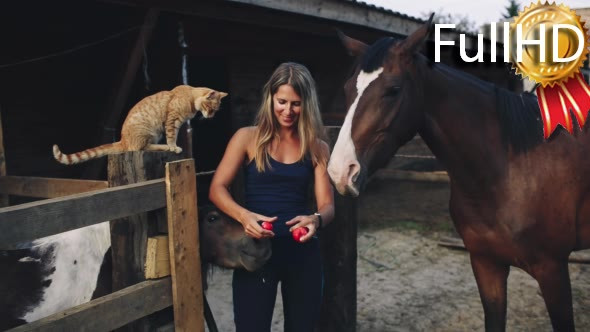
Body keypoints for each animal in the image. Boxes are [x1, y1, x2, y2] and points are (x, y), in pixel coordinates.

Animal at [52, 84, 228, 165]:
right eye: (211, 109)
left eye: (215, 111)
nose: (211, 116)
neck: (190, 96)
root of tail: (122, 140)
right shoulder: (172, 121)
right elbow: (172, 137)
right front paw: (173, 147)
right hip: (148, 132)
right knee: (141, 148)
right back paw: (164, 147)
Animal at [328, 17, 590, 332]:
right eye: (346, 89)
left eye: (393, 89)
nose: (340, 171)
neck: (508, 171)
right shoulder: (486, 265)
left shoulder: (553, 270)